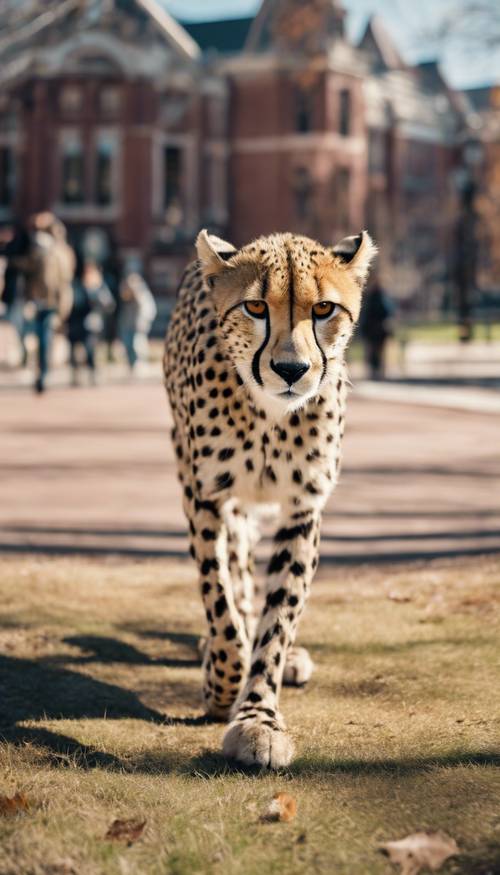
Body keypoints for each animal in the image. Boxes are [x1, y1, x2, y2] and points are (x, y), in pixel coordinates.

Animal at [162, 229, 376, 768]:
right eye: (255, 307)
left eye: (323, 308)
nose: (291, 369)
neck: (268, 419)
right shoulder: (205, 497)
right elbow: (219, 595)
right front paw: (223, 683)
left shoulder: (302, 506)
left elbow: (279, 616)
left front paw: (257, 718)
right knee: (236, 574)